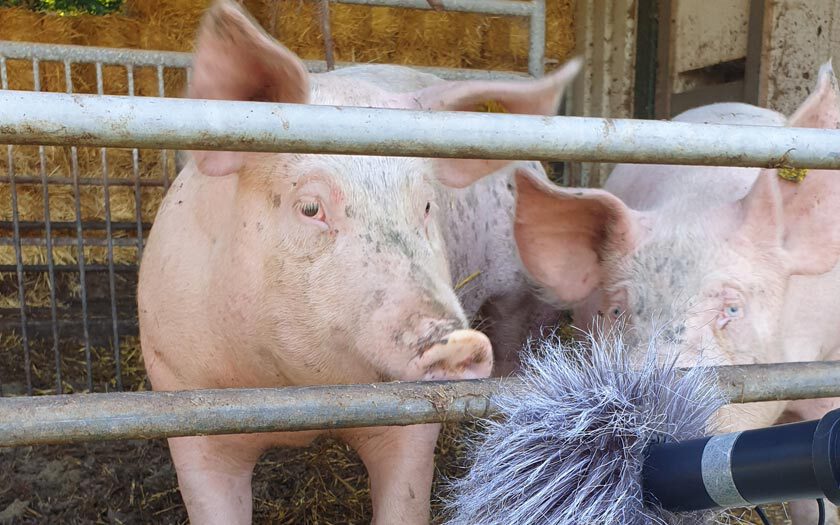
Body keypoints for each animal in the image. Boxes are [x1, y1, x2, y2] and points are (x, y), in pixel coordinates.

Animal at [138, 2, 580, 520]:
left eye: (426, 205)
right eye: (310, 207)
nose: (455, 341)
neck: (292, 392)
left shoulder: (409, 415)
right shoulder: (182, 398)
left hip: (521, 293)